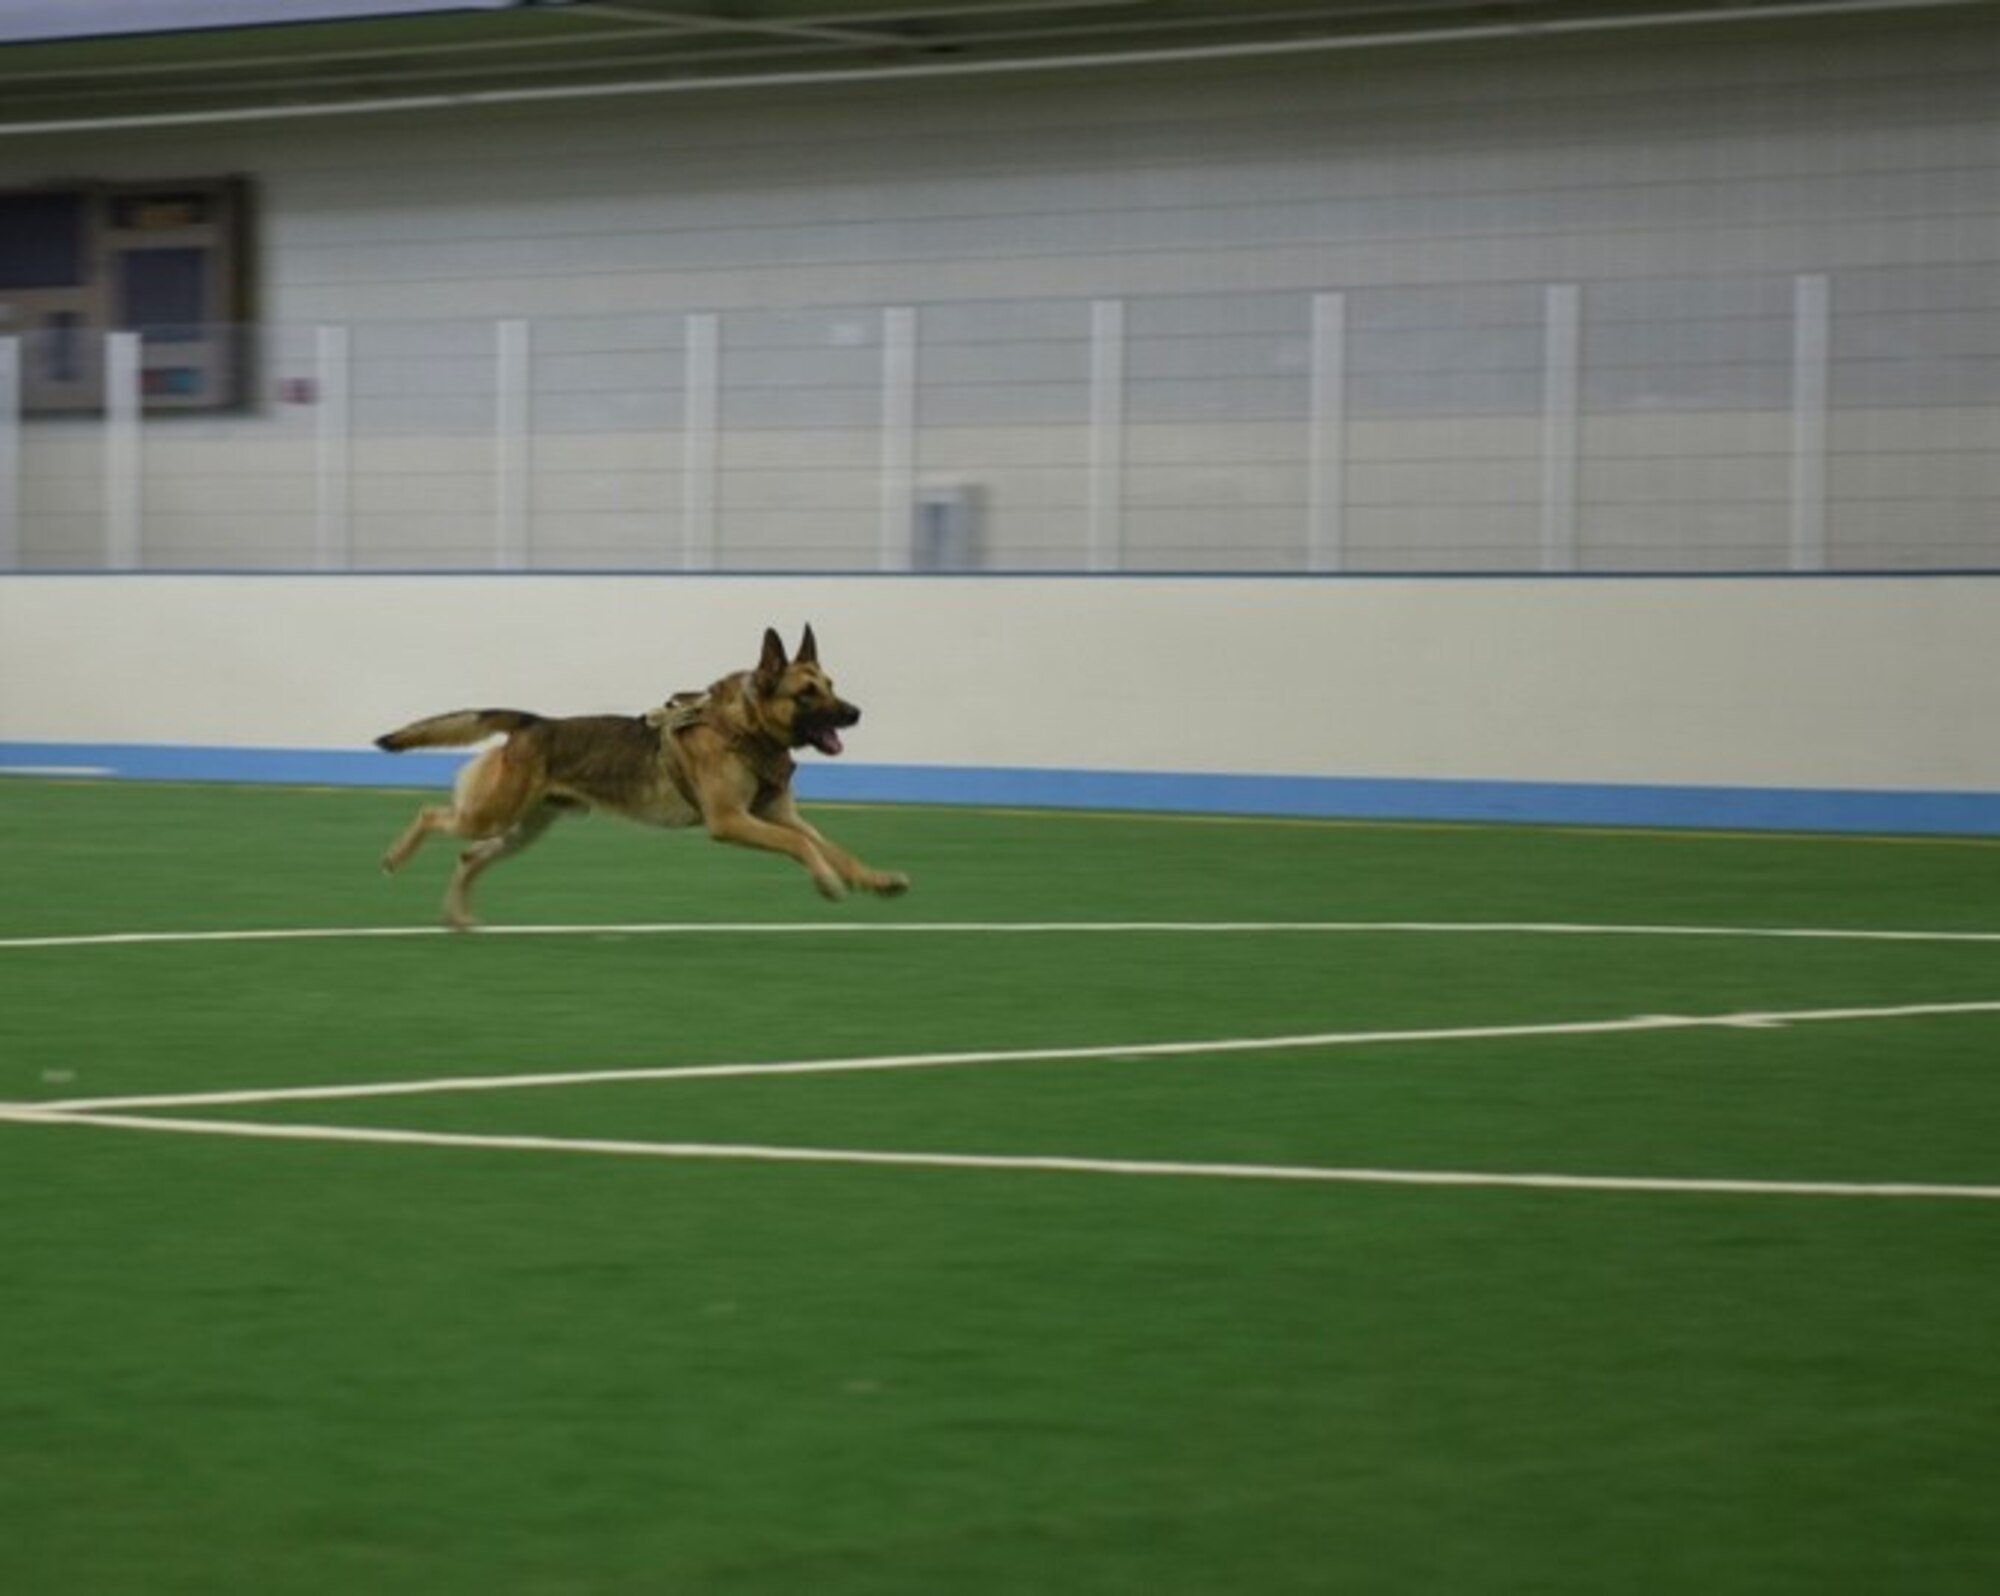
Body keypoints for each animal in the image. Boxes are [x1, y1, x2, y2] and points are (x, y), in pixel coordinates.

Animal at [372, 624, 912, 924]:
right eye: (806, 694)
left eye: (831, 685)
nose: (855, 713)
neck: (743, 729)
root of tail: (533, 722)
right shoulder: (731, 821)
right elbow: (801, 846)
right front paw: (827, 882)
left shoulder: (781, 815)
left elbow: (830, 847)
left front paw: (872, 878)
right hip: (491, 814)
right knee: (430, 815)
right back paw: (396, 858)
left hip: (521, 830)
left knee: (467, 857)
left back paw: (457, 917)